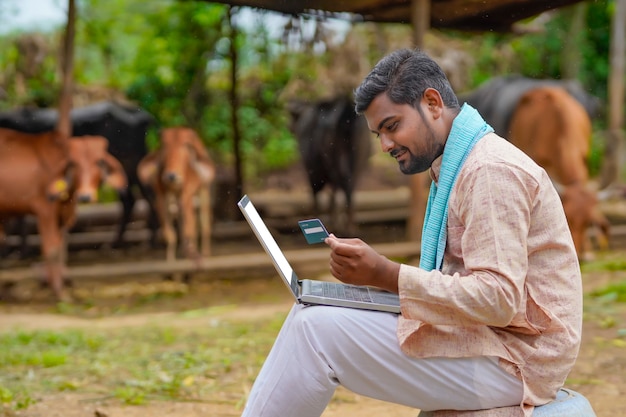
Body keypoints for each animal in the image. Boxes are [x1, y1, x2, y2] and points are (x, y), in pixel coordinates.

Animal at [0, 129, 127, 300]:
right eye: (73, 163)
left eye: (99, 162)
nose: (85, 196)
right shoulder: (45, 210)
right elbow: (52, 249)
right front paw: (59, 293)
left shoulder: (62, 216)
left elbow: (60, 248)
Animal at [136, 126, 214, 264]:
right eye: (164, 145)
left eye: (186, 145)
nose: (171, 176)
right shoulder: (160, 197)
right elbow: (169, 233)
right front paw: (171, 260)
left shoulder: (187, 195)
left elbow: (189, 229)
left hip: (204, 191)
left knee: (203, 224)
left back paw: (204, 253)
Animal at [288, 95, 370, 236]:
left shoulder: (312, 168)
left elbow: (317, 193)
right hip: (358, 159)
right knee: (349, 188)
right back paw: (349, 226)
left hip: (331, 162)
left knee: (338, 186)